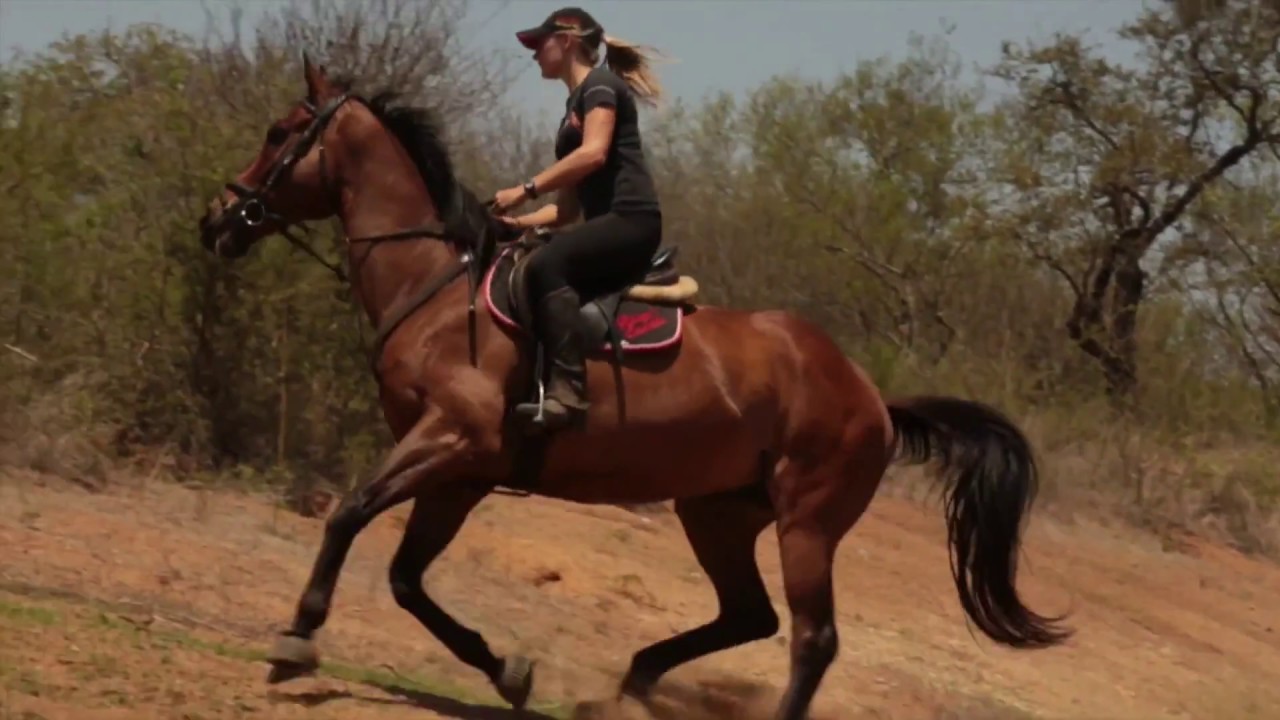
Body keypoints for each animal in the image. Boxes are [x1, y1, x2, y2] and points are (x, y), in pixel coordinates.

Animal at [192, 56, 1070, 717]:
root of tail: (871, 398)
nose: (216, 220)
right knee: (748, 614)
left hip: (807, 522)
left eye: (280, 134)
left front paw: (296, 641)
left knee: (812, 639)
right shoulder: (463, 471)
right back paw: (637, 678)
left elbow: (348, 513)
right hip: (717, 512)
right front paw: (508, 671)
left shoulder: (450, 439)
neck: (435, 287)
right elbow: (408, 579)